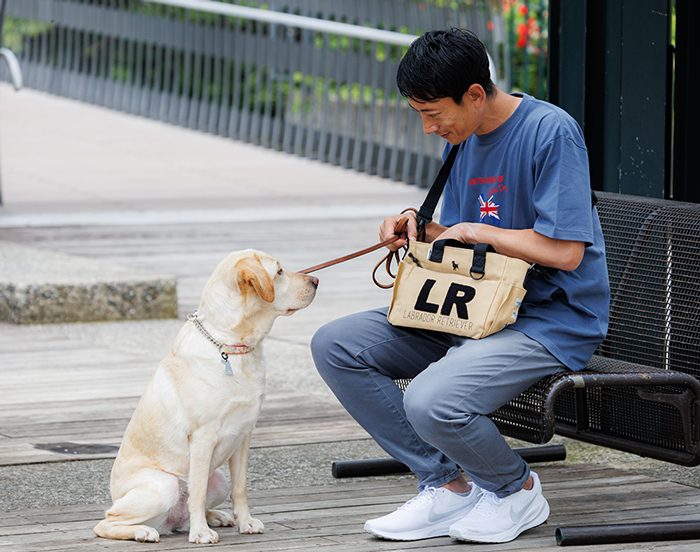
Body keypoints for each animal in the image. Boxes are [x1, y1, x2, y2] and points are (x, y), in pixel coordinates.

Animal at [94, 250, 318, 544]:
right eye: (279, 272)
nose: (316, 280)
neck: (232, 346)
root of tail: (168, 523)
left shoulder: (244, 435)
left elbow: (241, 487)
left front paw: (244, 522)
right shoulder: (203, 437)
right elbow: (197, 494)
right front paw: (200, 532)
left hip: (219, 477)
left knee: (186, 514)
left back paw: (215, 517)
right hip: (164, 485)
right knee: (106, 523)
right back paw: (145, 531)